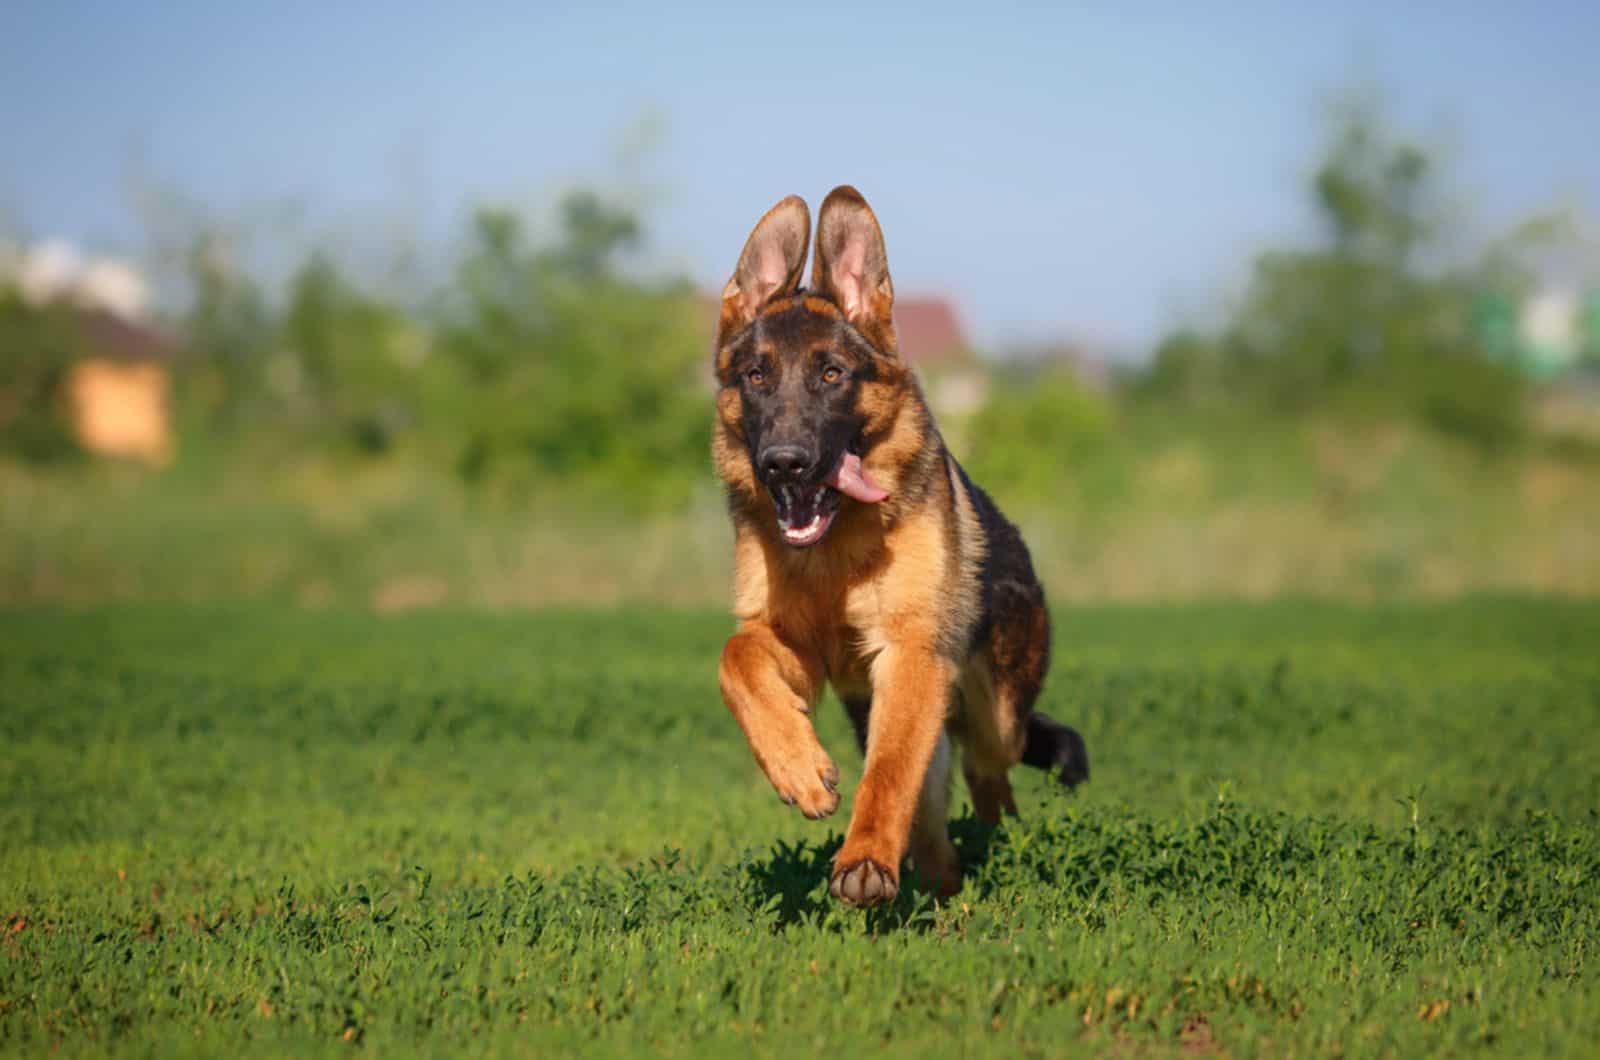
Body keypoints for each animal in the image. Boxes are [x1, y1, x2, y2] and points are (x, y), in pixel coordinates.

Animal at [716, 186, 1081, 909]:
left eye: (832, 374)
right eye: (756, 376)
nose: (784, 464)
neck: (832, 552)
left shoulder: (910, 654)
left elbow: (886, 773)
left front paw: (865, 860)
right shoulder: (798, 647)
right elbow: (735, 658)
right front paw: (798, 768)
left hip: (993, 714)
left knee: (989, 773)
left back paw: (998, 851)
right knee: (936, 811)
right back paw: (943, 886)